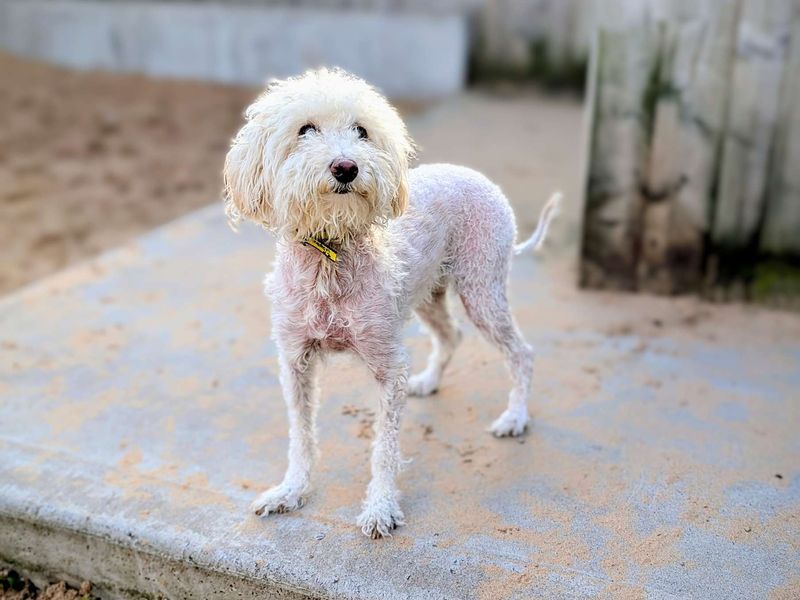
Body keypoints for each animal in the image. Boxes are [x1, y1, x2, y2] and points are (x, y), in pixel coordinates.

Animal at [222, 67, 560, 540]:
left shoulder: (388, 368)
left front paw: (381, 508)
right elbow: (301, 437)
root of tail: (479, 178)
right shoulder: (295, 363)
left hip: (482, 289)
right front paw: (291, 491)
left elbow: (384, 447)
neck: (332, 253)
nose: (346, 167)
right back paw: (430, 381)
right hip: (429, 295)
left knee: (521, 353)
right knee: (451, 336)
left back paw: (515, 417)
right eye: (305, 130)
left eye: (361, 131)